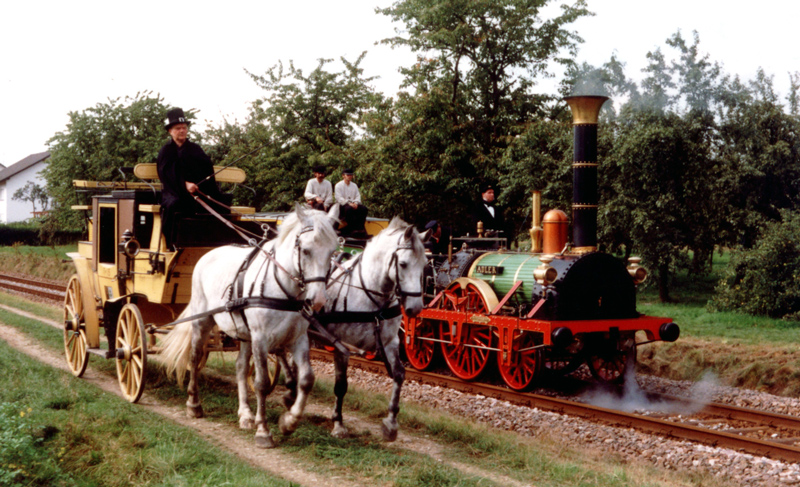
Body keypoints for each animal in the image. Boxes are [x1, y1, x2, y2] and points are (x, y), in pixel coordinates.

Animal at [161, 205, 340, 450]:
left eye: (332, 252)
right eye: (305, 250)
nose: (319, 300)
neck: (283, 289)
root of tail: (207, 255)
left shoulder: (299, 339)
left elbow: (306, 379)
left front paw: (289, 422)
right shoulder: (261, 338)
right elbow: (262, 383)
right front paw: (263, 431)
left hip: (244, 334)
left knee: (240, 367)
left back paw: (245, 414)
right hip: (203, 321)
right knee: (195, 358)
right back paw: (194, 405)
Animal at [310, 217, 428, 442]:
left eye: (425, 264)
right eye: (403, 264)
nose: (415, 308)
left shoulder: (390, 342)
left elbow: (399, 375)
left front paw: (391, 423)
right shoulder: (341, 346)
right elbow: (341, 385)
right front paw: (338, 423)